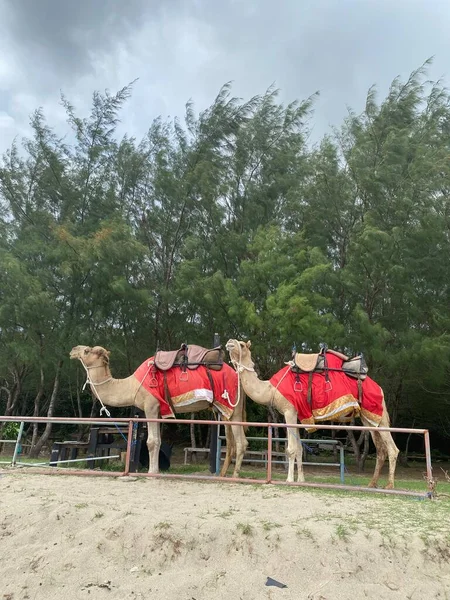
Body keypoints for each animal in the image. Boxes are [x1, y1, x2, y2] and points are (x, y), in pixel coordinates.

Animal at [69, 346, 250, 478]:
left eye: (87, 350)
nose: (73, 350)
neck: (132, 385)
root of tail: (239, 378)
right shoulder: (158, 410)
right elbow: (157, 440)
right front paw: (155, 470)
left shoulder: (151, 406)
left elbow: (151, 441)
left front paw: (151, 472)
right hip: (224, 410)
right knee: (231, 442)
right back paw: (223, 474)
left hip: (233, 406)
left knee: (241, 442)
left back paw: (235, 476)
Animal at [227, 338, 400, 488]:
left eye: (241, 345)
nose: (229, 342)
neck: (270, 389)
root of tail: (379, 388)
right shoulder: (298, 414)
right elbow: (299, 449)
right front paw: (301, 480)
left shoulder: (289, 411)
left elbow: (290, 449)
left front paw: (289, 480)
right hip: (369, 417)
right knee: (381, 450)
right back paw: (372, 483)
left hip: (378, 413)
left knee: (392, 448)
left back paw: (390, 485)